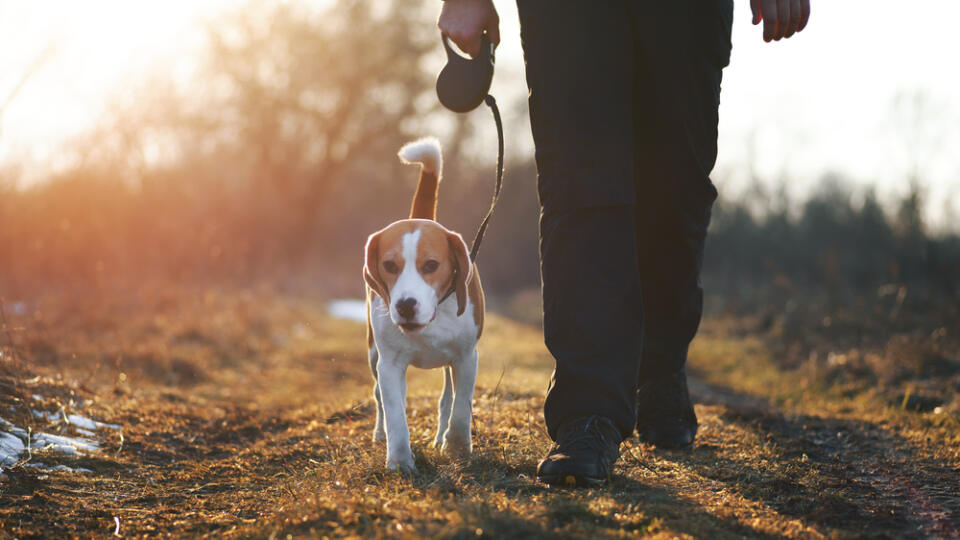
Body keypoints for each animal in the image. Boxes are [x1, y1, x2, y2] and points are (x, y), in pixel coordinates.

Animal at [368, 138, 488, 472]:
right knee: (380, 397)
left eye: (431, 265)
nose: (405, 306)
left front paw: (457, 448)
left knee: (448, 399)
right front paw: (399, 461)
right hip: (373, 354)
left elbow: (461, 407)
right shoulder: (389, 364)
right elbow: (395, 413)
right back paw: (381, 433)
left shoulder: (467, 357)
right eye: (390, 265)